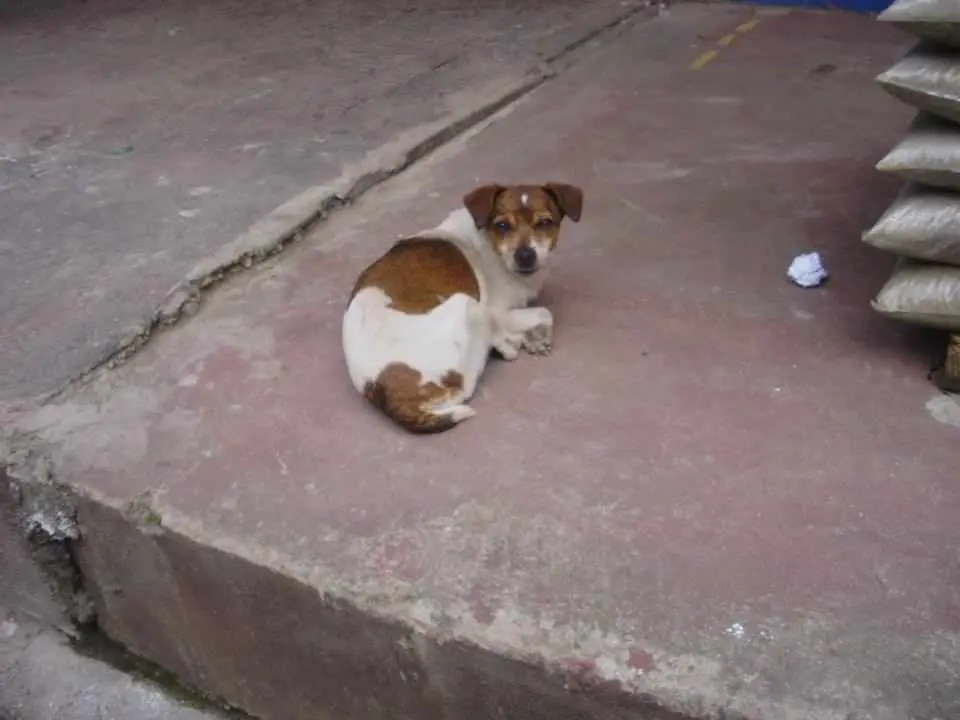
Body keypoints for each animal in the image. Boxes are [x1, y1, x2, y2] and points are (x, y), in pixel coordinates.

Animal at [341, 182, 583, 433]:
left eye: (544, 223)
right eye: (502, 225)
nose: (525, 256)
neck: (488, 243)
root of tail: (381, 390)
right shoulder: (498, 311)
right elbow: (544, 313)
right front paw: (535, 338)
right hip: (468, 304)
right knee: (474, 377)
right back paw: (508, 344)